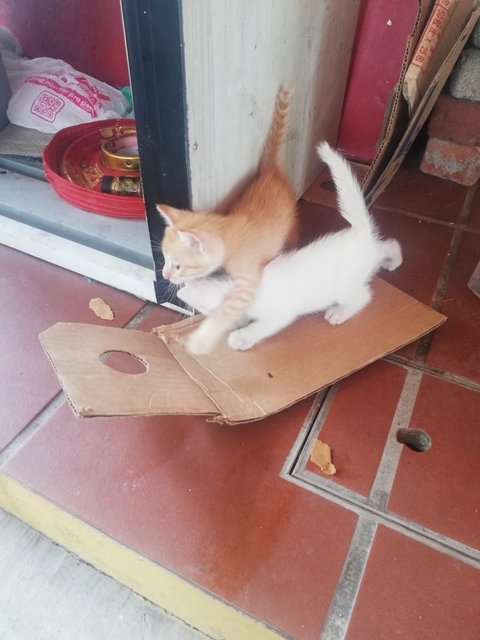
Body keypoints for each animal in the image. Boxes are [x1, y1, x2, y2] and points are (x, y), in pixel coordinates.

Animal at [158, 85, 296, 356]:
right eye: (165, 260)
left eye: (177, 266)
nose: (165, 276)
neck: (228, 229)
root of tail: (270, 172)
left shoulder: (247, 280)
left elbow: (226, 310)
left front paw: (201, 341)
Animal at [176, 141, 402, 350]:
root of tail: (361, 233)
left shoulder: (280, 313)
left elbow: (263, 326)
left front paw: (241, 337)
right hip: (371, 252)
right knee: (388, 244)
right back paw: (393, 260)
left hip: (345, 284)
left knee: (363, 296)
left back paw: (340, 312)